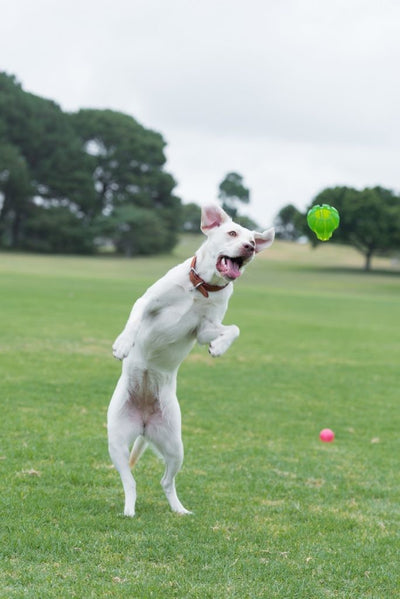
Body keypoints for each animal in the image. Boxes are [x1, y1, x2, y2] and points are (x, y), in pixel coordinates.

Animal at [108, 205, 274, 516]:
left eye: (252, 241)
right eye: (232, 233)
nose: (249, 248)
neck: (202, 288)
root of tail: (144, 423)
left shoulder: (204, 329)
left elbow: (233, 329)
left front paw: (219, 348)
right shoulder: (147, 302)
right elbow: (135, 319)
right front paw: (124, 344)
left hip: (175, 446)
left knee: (165, 481)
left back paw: (179, 509)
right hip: (118, 443)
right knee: (130, 481)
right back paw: (129, 510)